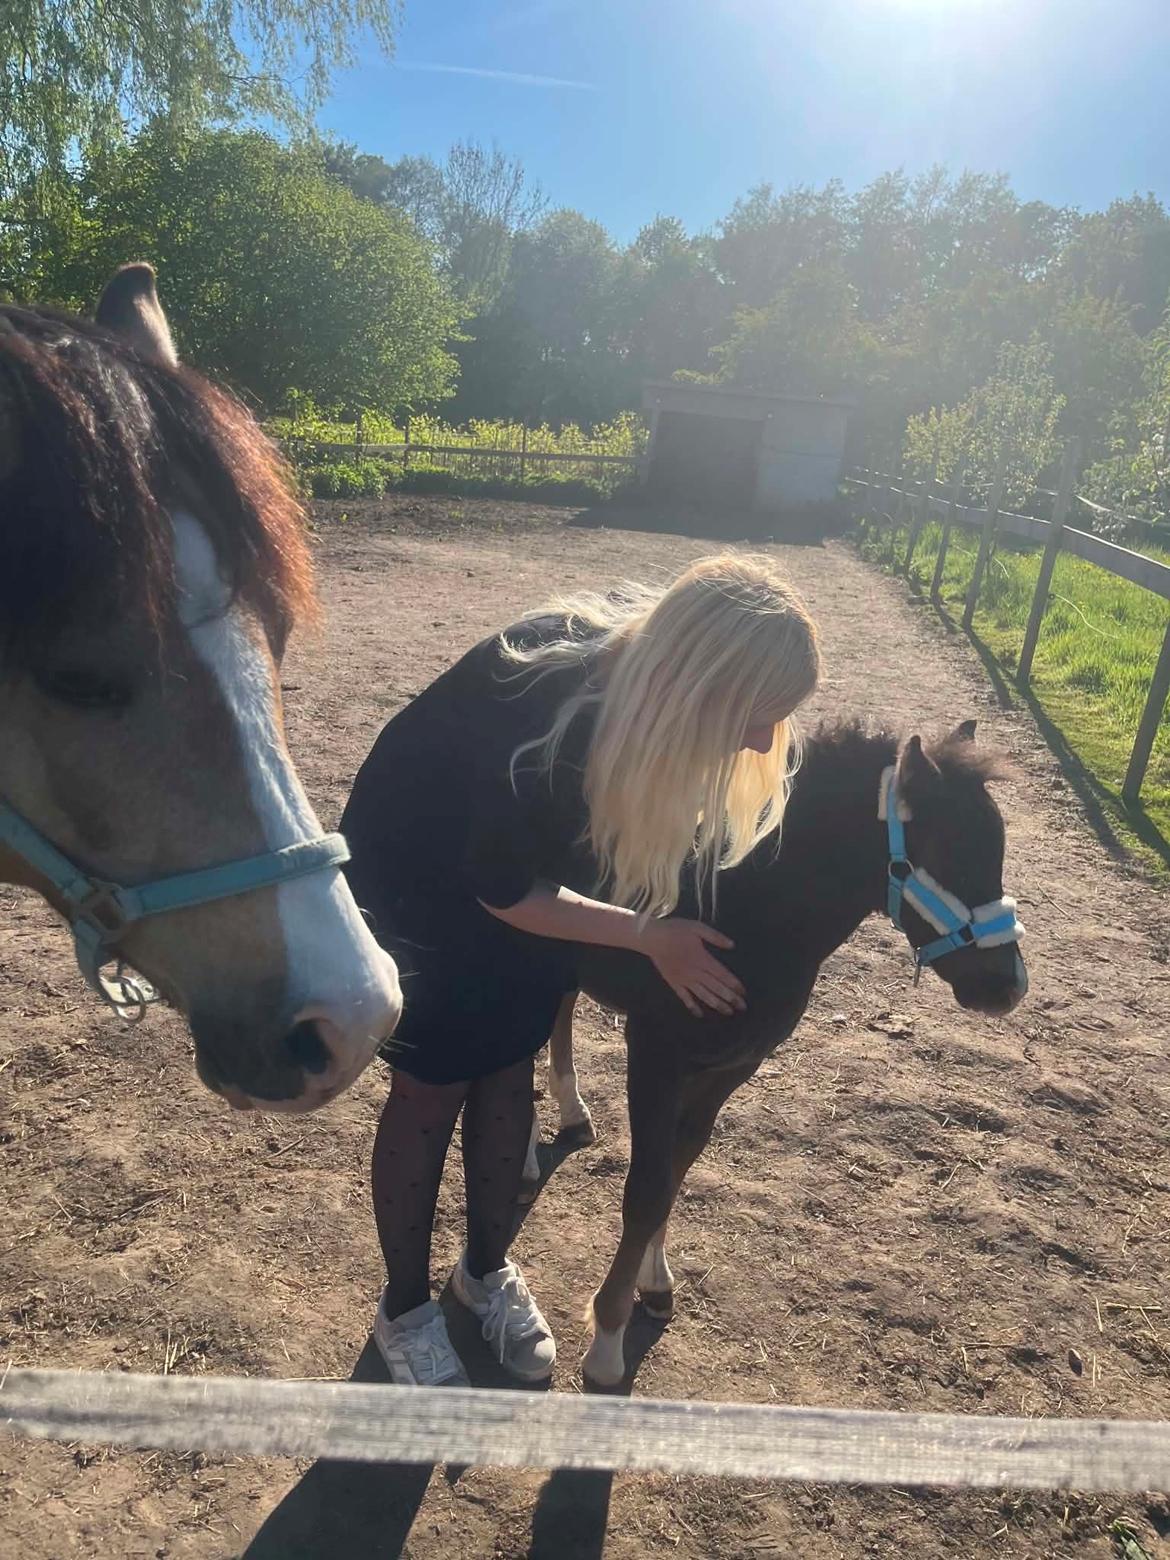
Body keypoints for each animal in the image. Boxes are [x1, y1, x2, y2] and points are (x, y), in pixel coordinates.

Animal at [527, 720, 1028, 1388]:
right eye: (949, 853)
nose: (1008, 986)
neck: (741, 907)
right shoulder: (655, 1056)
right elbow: (646, 1189)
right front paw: (607, 1342)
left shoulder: (734, 1066)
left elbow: (678, 1168)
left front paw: (654, 1284)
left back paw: (572, 1112)